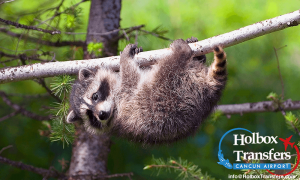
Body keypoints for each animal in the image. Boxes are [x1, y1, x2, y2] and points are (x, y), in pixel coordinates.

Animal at [67, 37, 227, 145]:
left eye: (95, 96)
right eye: (91, 117)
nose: (101, 115)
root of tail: (210, 92)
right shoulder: (126, 100)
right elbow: (130, 77)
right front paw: (124, 60)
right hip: (170, 94)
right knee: (168, 69)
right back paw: (182, 51)